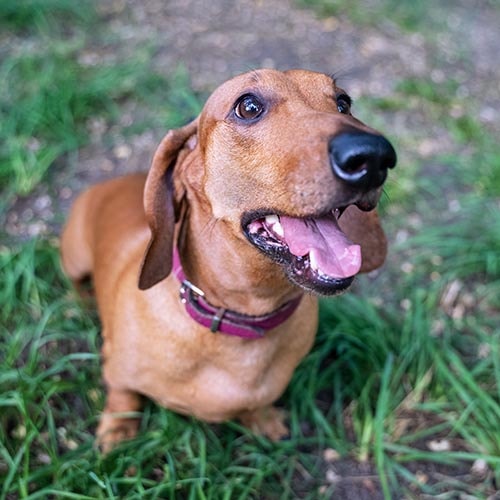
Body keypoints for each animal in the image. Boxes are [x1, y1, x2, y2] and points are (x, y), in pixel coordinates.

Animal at [60, 68, 396, 452]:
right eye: (248, 106)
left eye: (343, 102)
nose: (374, 156)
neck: (243, 318)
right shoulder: (117, 369)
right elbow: (122, 394)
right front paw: (117, 429)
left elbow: (258, 404)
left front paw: (262, 420)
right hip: (74, 257)